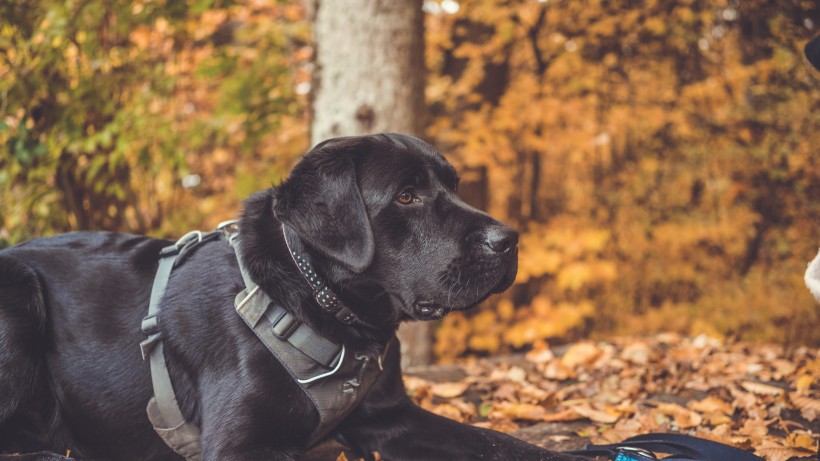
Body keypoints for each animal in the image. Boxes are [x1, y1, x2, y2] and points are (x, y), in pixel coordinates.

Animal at [0, 132, 576, 456]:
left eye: (453, 185)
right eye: (407, 196)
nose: (510, 240)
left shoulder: (390, 418)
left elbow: (500, 442)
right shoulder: (243, 446)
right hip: (18, 297)